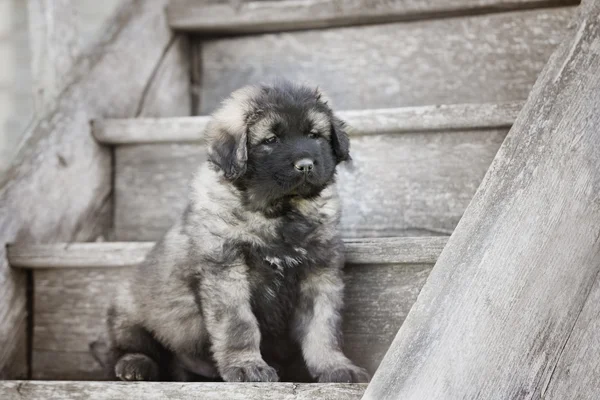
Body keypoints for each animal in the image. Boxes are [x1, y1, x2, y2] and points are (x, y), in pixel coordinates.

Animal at [108, 79, 370, 382]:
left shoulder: (320, 271)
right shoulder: (225, 268)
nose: (306, 165)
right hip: (132, 308)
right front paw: (246, 366)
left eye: (314, 135)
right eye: (271, 140)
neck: (279, 212)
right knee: (131, 344)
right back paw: (135, 365)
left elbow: (323, 326)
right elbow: (239, 324)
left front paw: (335, 366)